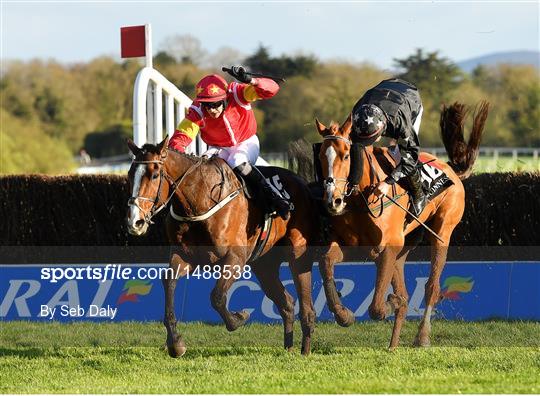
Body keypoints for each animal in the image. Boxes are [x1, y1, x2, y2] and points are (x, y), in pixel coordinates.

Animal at [124, 138, 318, 356]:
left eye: (155, 175)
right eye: (130, 175)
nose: (135, 222)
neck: (201, 200)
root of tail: (303, 183)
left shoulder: (235, 259)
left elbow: (216, 296)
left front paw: (239, 318)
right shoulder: (185, 256)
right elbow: (169, 281)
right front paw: (176, 342)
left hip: (298, 253)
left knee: (306, 305)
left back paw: (305, 351)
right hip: (264, 264)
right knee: (287, 303)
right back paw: (288, 349)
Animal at [312, 101, 490, 350]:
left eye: (346, 156)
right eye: (320, 156)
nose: (333, 200)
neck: (362, 197)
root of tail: (451, 169)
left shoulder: (388, 246)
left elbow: (377, 308)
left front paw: (392, 302)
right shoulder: (352, 245)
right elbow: (325, 261)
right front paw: (343, 314)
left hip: (442, 232)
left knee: (431, 287)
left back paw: (422, 336)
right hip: (406, 245)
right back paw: (393, 344)